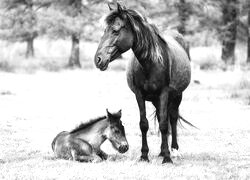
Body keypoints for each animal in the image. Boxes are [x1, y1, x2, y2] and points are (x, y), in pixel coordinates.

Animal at [94, 2, 191, 163]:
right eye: (104, 30)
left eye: (115, 30)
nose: (98, 59)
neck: (151, 63)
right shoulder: (139, 95)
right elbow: (144, 124)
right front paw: (144, 155)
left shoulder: (164, 93)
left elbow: (164, 125)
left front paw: (167, 158)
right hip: (156, 100)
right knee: (163, 117)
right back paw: (161, 151)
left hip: (177, 95)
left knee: (172, 118)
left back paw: (174, 150)